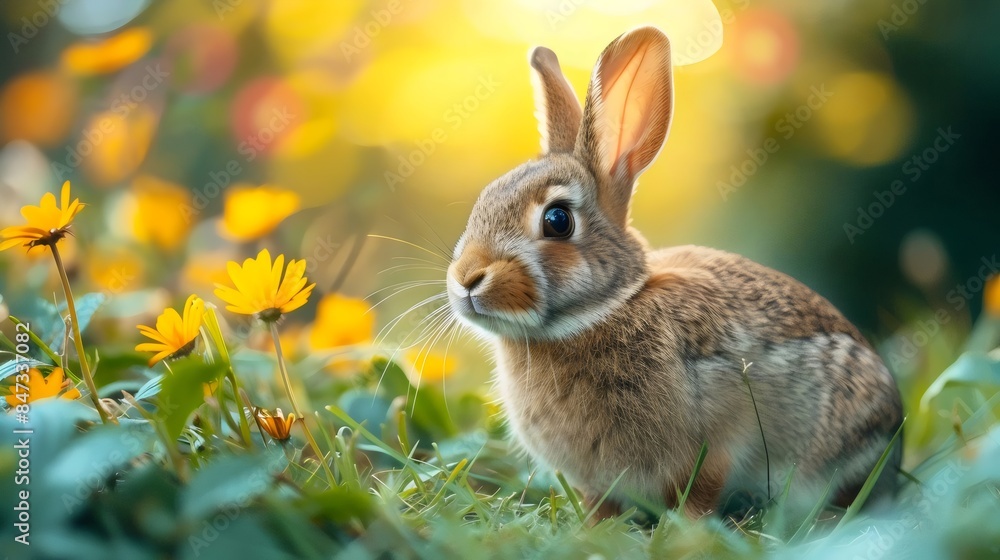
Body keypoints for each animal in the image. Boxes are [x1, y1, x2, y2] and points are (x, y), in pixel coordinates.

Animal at [445, 26, 903, 519]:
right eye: (484, 200)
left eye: (557, 220)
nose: (466, 279)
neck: (606, 309)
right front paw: (595, 526)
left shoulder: (717, 440)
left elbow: (701, 489)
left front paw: (687, 526)